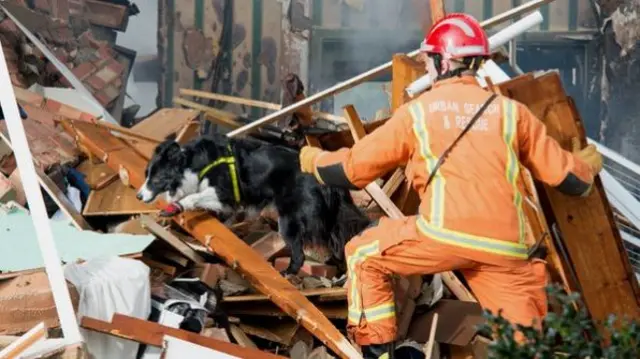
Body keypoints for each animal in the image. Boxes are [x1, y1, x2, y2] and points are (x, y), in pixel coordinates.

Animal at [138, 134, 372, 278]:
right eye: (146, 174)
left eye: (156, 179)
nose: (139, 195)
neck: (192, 163)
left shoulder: (223, 194)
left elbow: (194, 197)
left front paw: (175, 207)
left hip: (289, 219)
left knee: (300, 253)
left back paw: (287, 273)